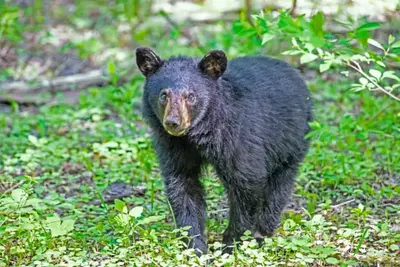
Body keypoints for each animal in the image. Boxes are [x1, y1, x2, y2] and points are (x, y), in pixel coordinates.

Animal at [136, 47, 314, 255]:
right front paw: (196, 246)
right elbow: (183, 186)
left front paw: (230, 244)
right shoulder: (173, 146)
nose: (173, 122)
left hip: (290, 141)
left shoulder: (239, 137)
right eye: (164, 95)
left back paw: (262, 233)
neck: (199, 134)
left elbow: (246, 182)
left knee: (278, 187)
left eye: (191, 96)